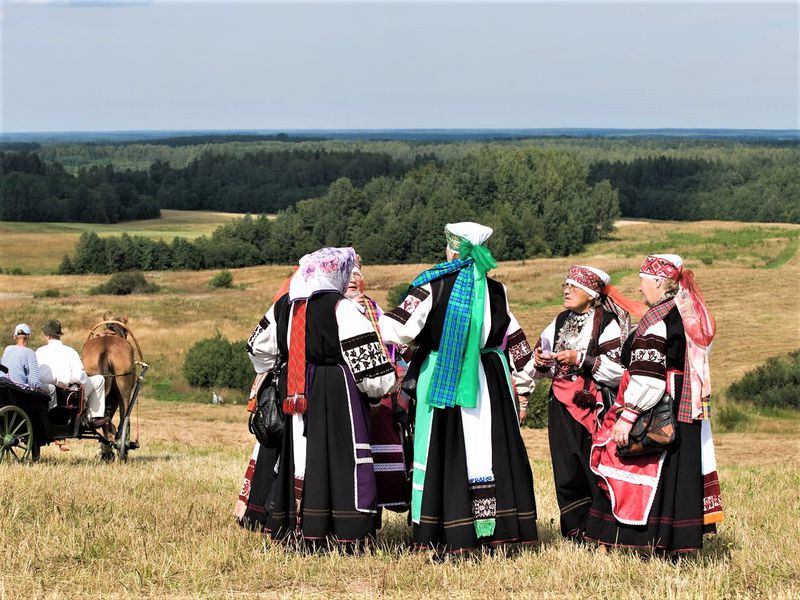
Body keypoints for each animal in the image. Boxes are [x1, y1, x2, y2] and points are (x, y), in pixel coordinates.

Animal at [81, 314, 138, 460]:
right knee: (124, 418)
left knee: (103, 419)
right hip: (124, 392)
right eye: (126, 332)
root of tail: (105, 350)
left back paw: (107, 450)